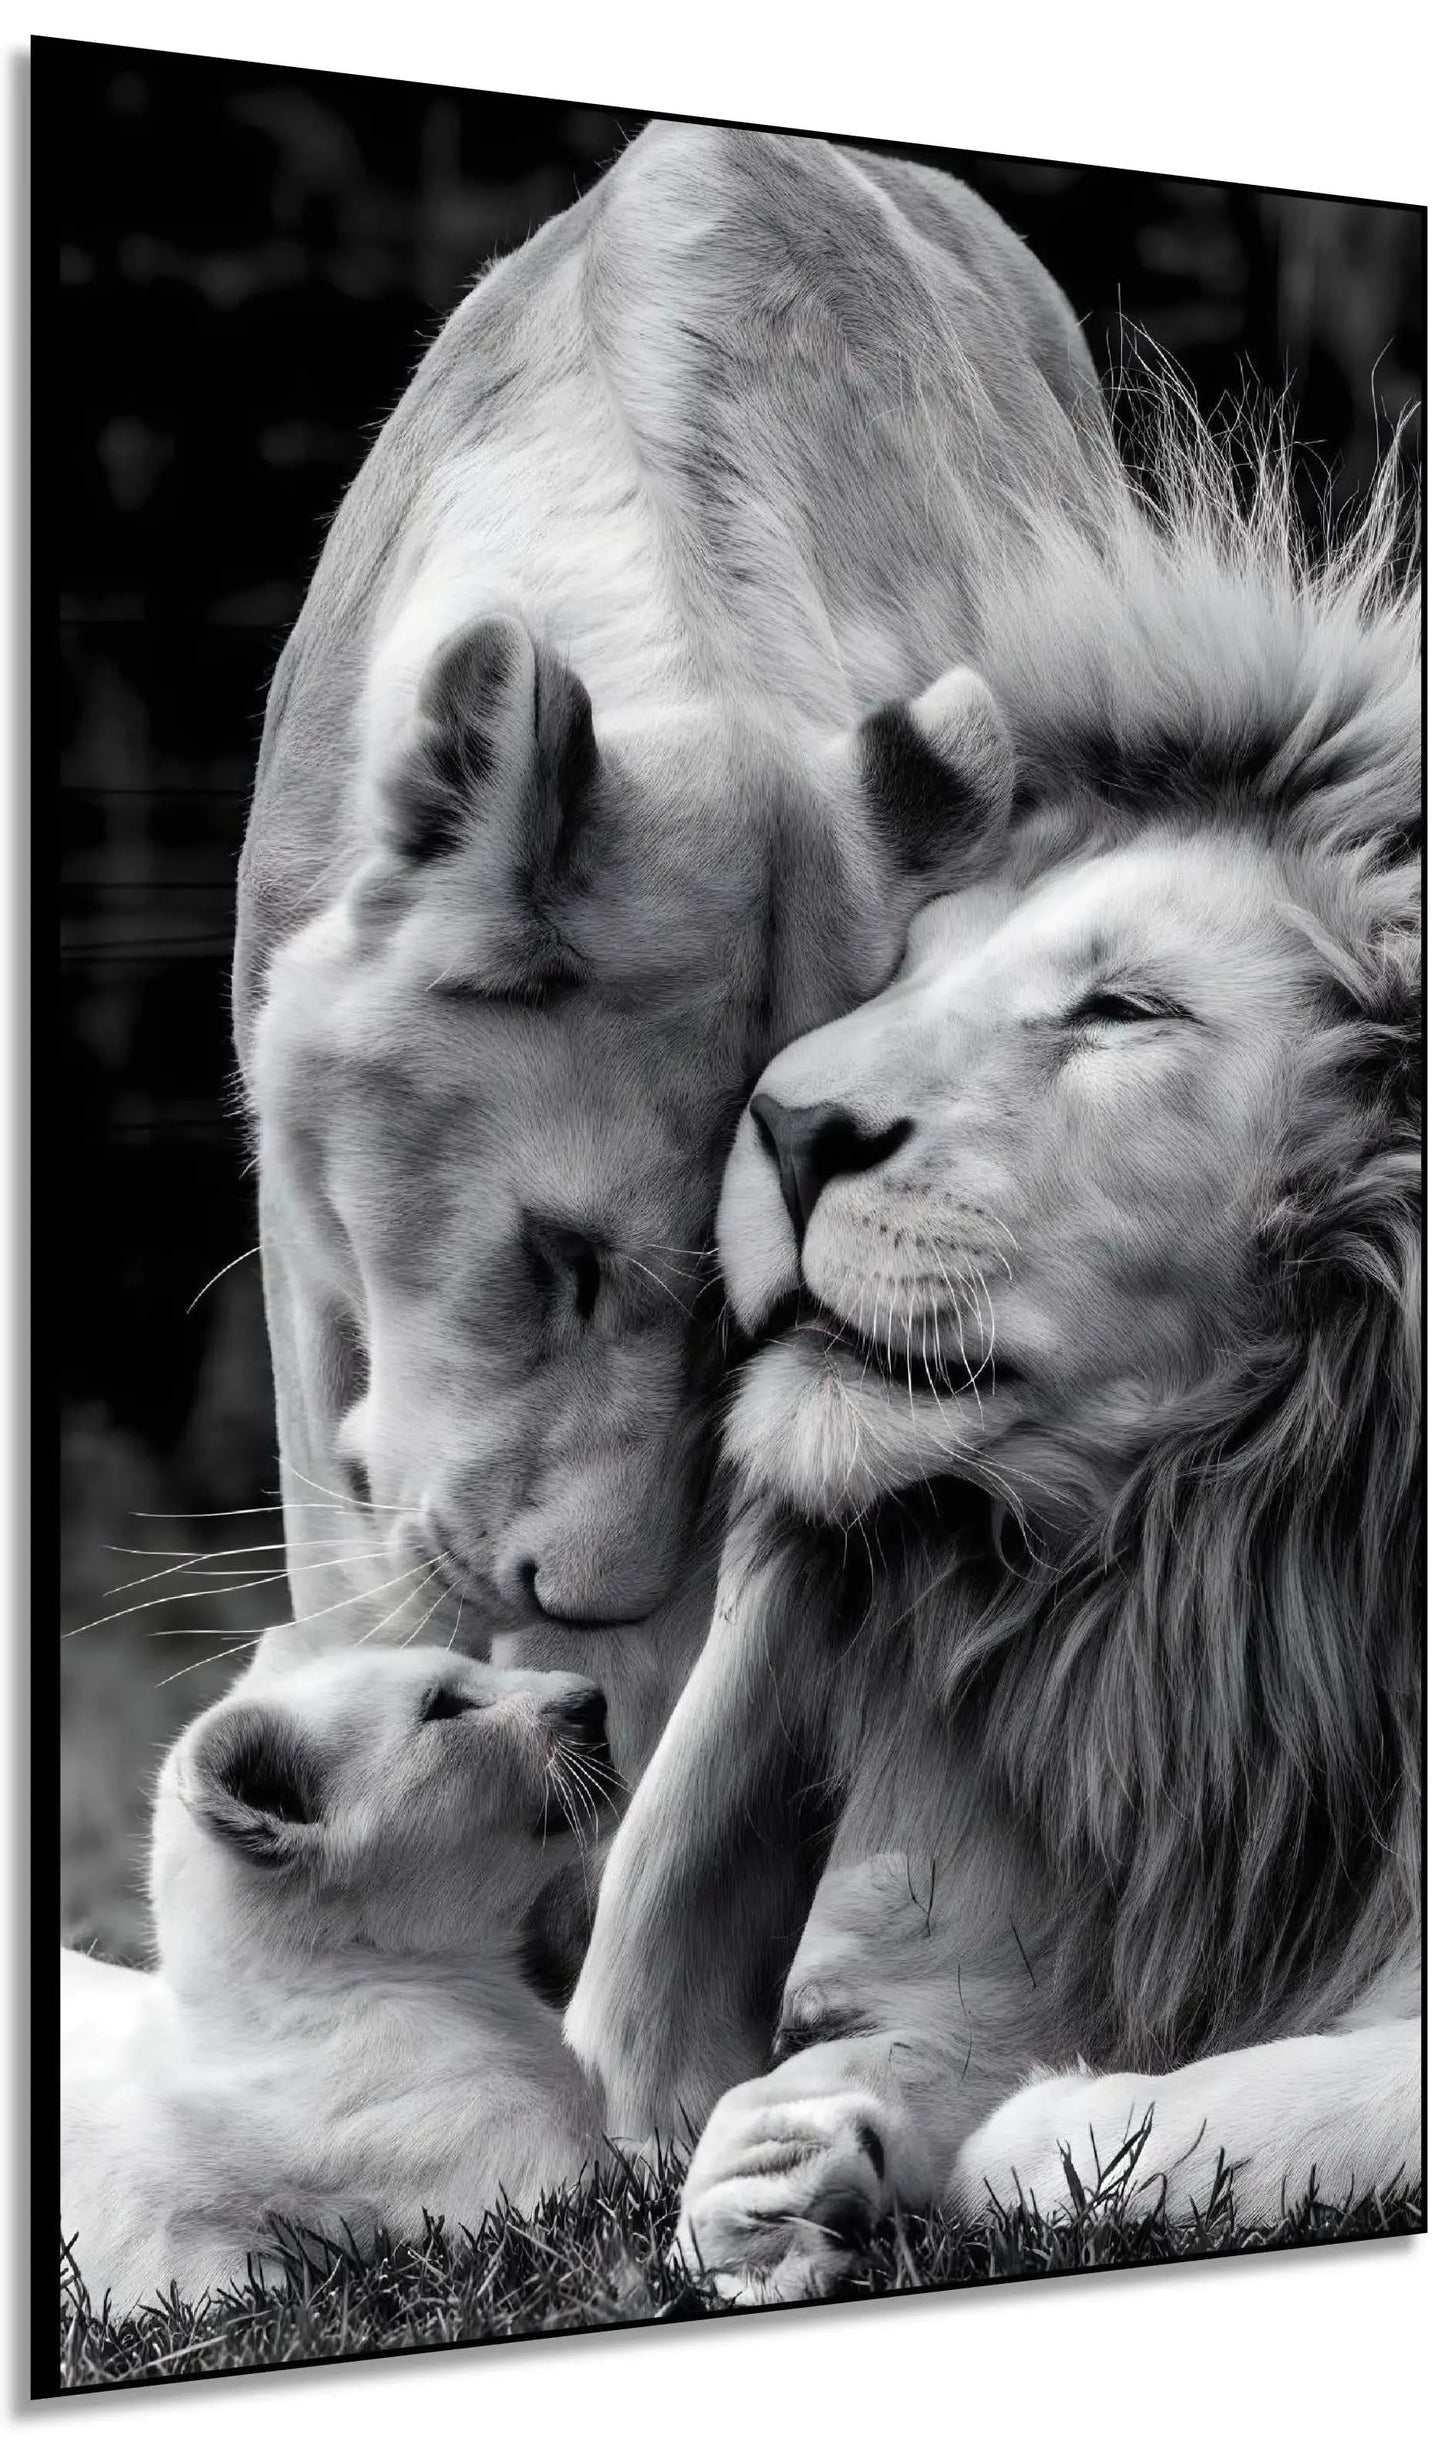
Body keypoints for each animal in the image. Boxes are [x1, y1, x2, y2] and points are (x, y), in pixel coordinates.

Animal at [565, 400, 1421, 2299]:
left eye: (1124, 1008)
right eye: (915, 969)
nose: (788, 1123)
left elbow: (1242, 2103)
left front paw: (1043, 2132)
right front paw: (793, 2151)